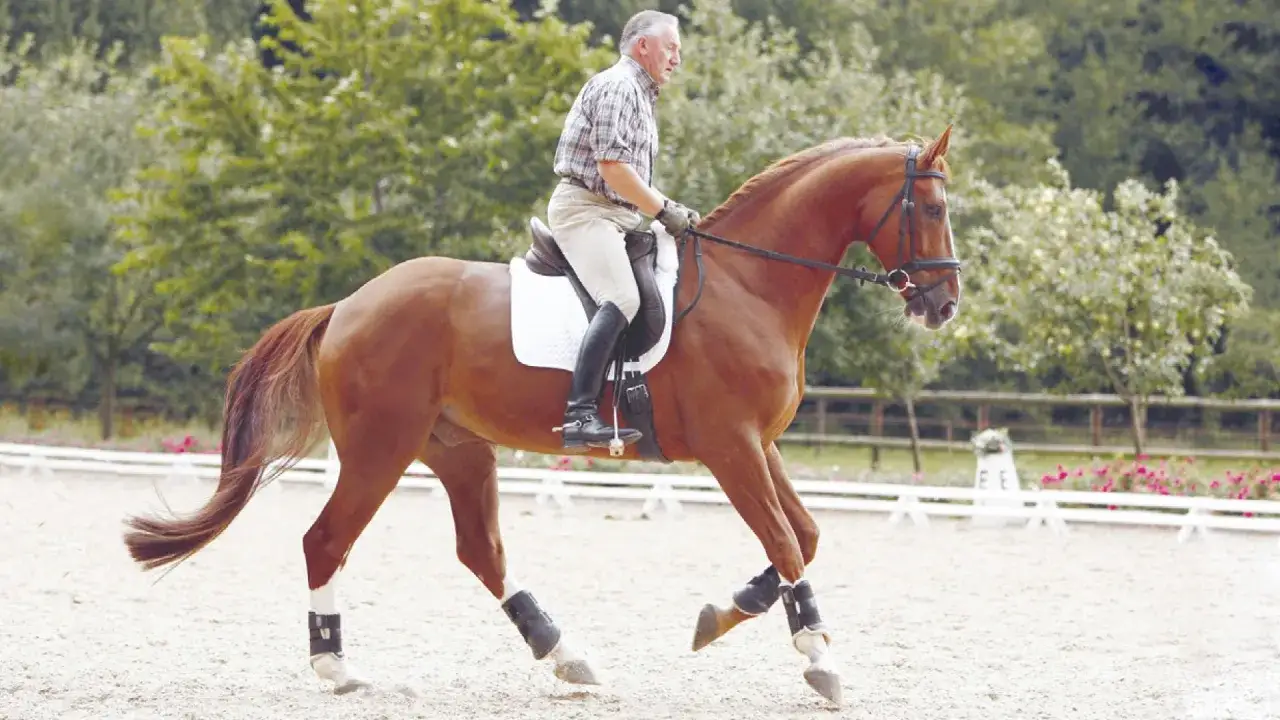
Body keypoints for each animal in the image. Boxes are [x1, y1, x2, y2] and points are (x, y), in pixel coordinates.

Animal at [120, 124, 962, 708]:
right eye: (930, 206)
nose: (944, 305)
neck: (748, 283)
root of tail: (348, 304)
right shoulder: (731, 446)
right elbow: (786, 539)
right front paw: (820, 657)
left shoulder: (760, 444)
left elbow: (805, 536)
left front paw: (722, 614)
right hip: (380, 448)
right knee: (326, 540)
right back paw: (337, 668)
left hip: (457, 448)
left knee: (481, 551)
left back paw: (564, 653)